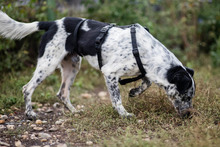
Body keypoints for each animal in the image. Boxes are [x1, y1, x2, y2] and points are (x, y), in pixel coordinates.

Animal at [0, 11, 196, 119]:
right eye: (186, 96)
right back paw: (30, 114)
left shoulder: (145, 71)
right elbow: (117, 99)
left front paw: (134, 92)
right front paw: (124, 115)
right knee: (27, 88)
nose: (189, 116)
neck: (145, 51)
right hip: (48, 63)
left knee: (62, 93)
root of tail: (52, 23)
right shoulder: (110, 73)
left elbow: (146, 82)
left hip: (72, 66)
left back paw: (74, 112)